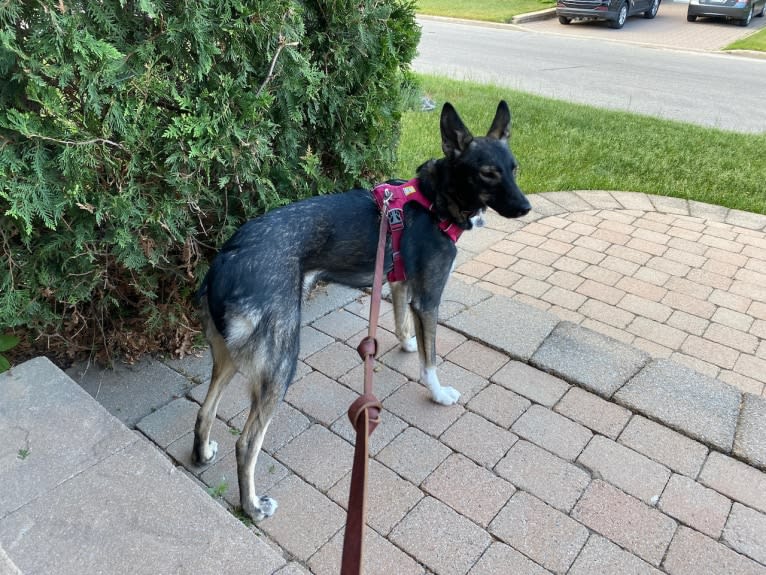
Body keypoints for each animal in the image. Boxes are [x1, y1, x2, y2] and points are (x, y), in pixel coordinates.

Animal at [192, 101, 532, 524]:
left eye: (514, 168)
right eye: (488, 172)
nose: (526, 207)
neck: (435, 200)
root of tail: (226, 260)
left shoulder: (401, 284)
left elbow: (403, 323)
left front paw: (407, 343)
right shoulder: (429, 298)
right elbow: (431, 358)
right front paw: (438, 393)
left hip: (227, 358)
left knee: (204, 412)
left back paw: (202, 453)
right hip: (280, 362)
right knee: (246, 443)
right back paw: (253, 506)